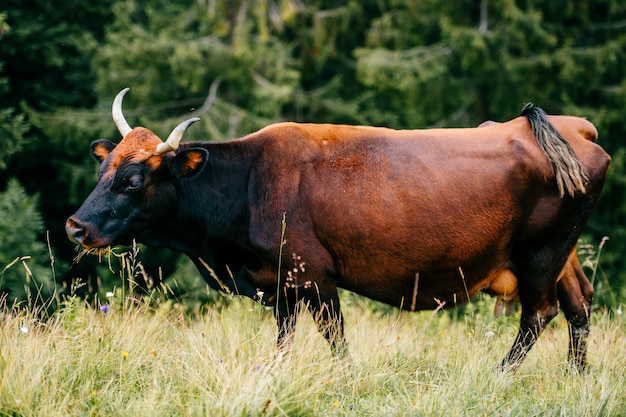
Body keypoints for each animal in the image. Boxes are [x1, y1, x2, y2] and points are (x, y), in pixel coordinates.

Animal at [66, 89, 608, 368]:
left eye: (133, 181)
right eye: (103, 169)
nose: (75, 227)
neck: (248, 183)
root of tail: (574, 127)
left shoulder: (315, 276)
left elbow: (336, 340)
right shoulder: (280, 285)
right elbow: (284, 344)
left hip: (540, 254)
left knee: (539, 315)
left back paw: (501, 375)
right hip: (562, 256)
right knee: (578, 303)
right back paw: (576, 378)